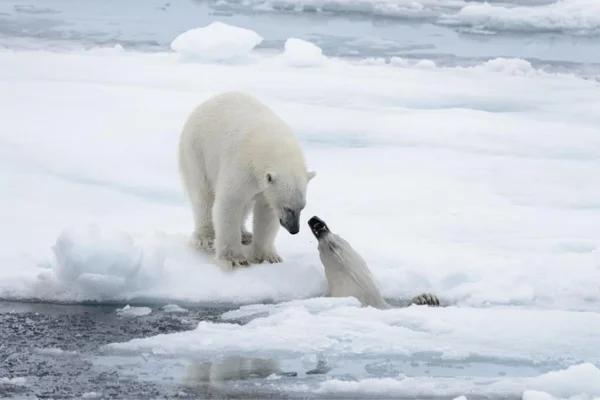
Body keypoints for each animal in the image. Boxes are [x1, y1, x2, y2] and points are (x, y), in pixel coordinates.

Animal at [178, 92, 316, 270]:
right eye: (287, 207)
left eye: (302, 207)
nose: (294, 229)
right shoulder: (242, 165)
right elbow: (230, 201)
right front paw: (234, 260)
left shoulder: (263, 186)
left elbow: (265, 211)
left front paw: (269, 257)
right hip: (196, 151)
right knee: (202, 195)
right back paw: (205, 239)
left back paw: (245, 235)